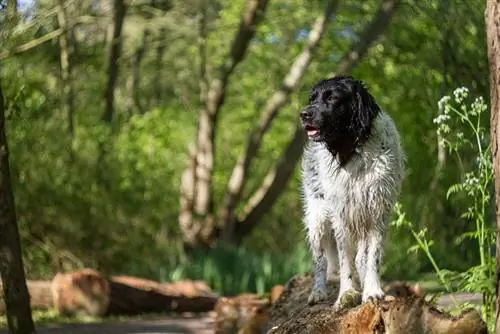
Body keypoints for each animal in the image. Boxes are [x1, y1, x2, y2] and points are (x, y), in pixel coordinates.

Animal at [298, 75, 404, 308]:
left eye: (332, 98)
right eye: (312, 99)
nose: (304, 114)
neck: (352, 150)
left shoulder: (377, 212)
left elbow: (372, 257)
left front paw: (372, 291)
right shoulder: (341, 214)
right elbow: (344, 260)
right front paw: (346, 294)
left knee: (361, 258)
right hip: (318, 218)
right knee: (320, 262)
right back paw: (318, 292)